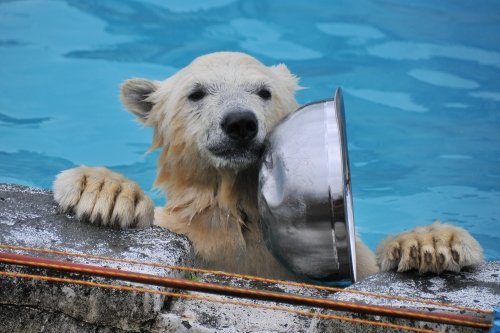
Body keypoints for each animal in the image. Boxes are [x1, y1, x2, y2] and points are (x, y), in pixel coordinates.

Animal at [51, 52, 484, 280]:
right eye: (196, 93)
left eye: (263, 91)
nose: (240, 123)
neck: (236, 211)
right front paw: (102, 191)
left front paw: (431, 243)